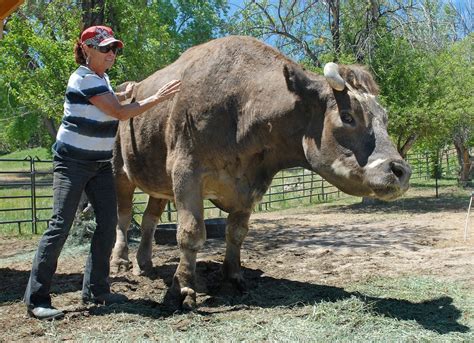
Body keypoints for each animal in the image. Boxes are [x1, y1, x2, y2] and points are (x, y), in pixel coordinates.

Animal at [111, 36, 412, 310]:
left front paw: (232, 279)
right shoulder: (186, 173)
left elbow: (236, 233)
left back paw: (144, 263)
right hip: (120, 171)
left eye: (384, 119)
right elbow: (190, 233)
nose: (400, 170)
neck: (242, 106)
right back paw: (120, 260)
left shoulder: (250, 186)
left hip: (158, 182)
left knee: (149, 221)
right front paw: (183, 288)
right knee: (123, 217)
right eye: (348, 116)